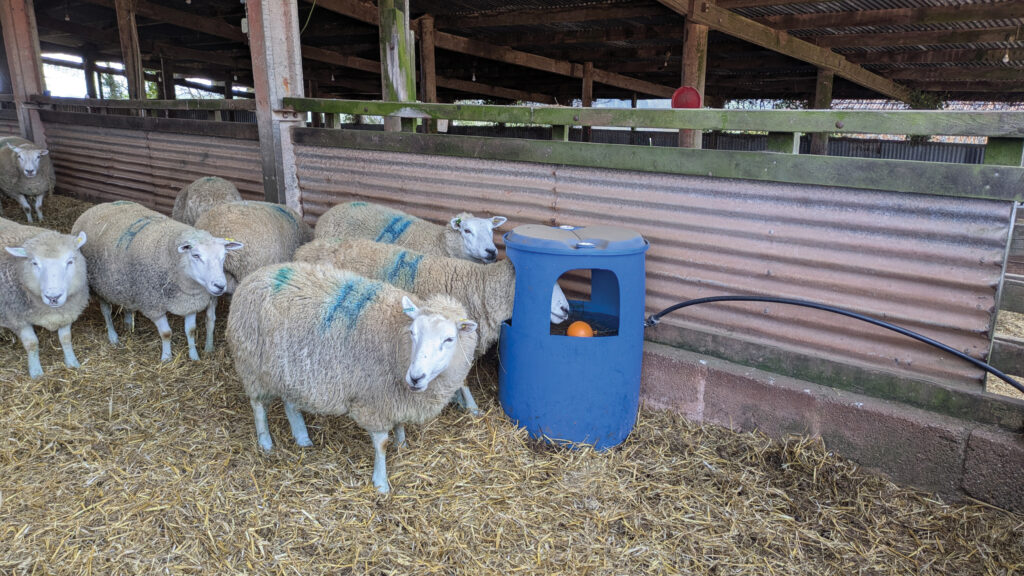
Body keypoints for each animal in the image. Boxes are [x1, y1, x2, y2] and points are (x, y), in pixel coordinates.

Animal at [0, 218, 89, 378]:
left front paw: (72, 362)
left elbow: (66, 338)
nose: (53, 297)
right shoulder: (17, 318)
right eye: (35, 263)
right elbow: (32, 344)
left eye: (70, 261)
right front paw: (36, 372)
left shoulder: (67, 312)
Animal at [72, 201, 243, 362]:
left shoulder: (189, 303)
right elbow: (166, 333)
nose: (220, 285)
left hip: (127, 285)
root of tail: (97, 207)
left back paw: (128, 324)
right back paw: (113, 337)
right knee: (106, 312)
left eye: (224, 256)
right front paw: (166, 358)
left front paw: (194, 356)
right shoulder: (153, 305)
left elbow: (191, 331)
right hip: (100, 287)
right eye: (196, 255)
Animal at [227, 262, 478, 493]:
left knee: (290, 403)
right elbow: (381, 444)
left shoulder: (394, 397)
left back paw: (302, 437)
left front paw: (402, 443)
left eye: (449, 339)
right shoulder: (374, 401)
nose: (415, 377)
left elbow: (399, 425)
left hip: (290, 371)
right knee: (258, 405)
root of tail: (254, 276)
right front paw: (381, 483)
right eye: (413, 332)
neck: (397, 343)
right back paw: (265, 442)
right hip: (253, 367)